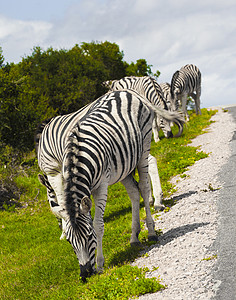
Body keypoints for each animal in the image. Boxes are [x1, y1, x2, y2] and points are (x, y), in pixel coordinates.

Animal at [35, 89, 184, 282]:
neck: (80, 157)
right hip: (125, 164)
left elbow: (98, 223)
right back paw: (134, 237)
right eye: (70, 242)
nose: (85, 275)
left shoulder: (94, 184)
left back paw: (151, 229)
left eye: (89, 236)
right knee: (134, 193)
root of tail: (128, 91)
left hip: (143, 147)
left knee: (144, 187)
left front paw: (100, 264)